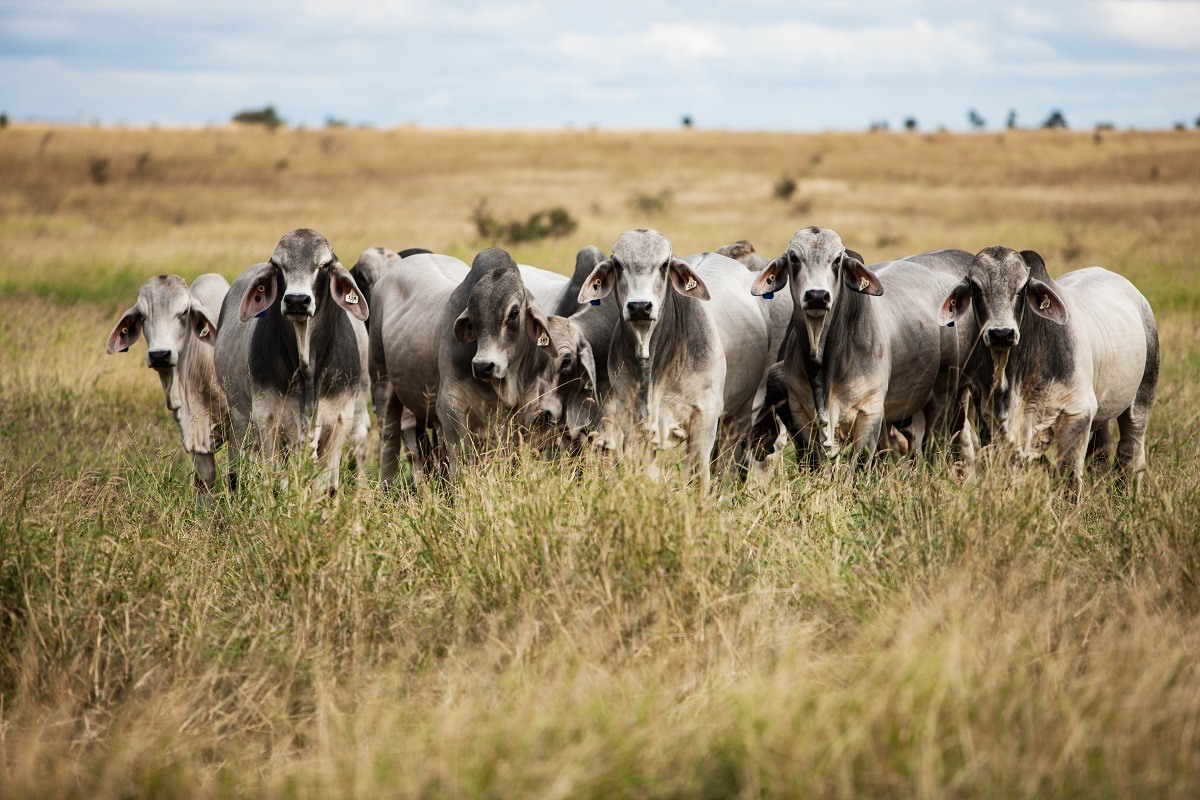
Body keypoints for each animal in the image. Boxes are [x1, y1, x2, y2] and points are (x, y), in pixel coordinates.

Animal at [213, 230, 367, 494]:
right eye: (278, 265)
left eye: (324, 265)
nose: (297, 300)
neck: (307, 371)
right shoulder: (266, 419)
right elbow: (275, 482)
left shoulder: (340, 419)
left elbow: (327, 486)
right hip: (240, 417)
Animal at [578, 227, 768, 491]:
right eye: (617, 264)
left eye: (664, 265)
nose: (640, 306)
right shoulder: (631, 421)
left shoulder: (705, 416)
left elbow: (699, 475)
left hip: (739, 413)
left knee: (725, 463)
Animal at [753, 225, 979, 462]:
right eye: (794, 258)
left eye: (837, 260)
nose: (817, 295)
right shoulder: (801, 414)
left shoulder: (870, 412)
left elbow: (861, 460)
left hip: (943, 395)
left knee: (935, 442)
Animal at [936, 245, 1152, 494]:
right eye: (976, 287)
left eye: (1021, 288)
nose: (1001, 334)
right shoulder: (993, 421)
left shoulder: (1078, 413)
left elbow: (1069, 478)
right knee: (1101, 450)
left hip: (1142, 398)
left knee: (1131, 449)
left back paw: (1127, 491)